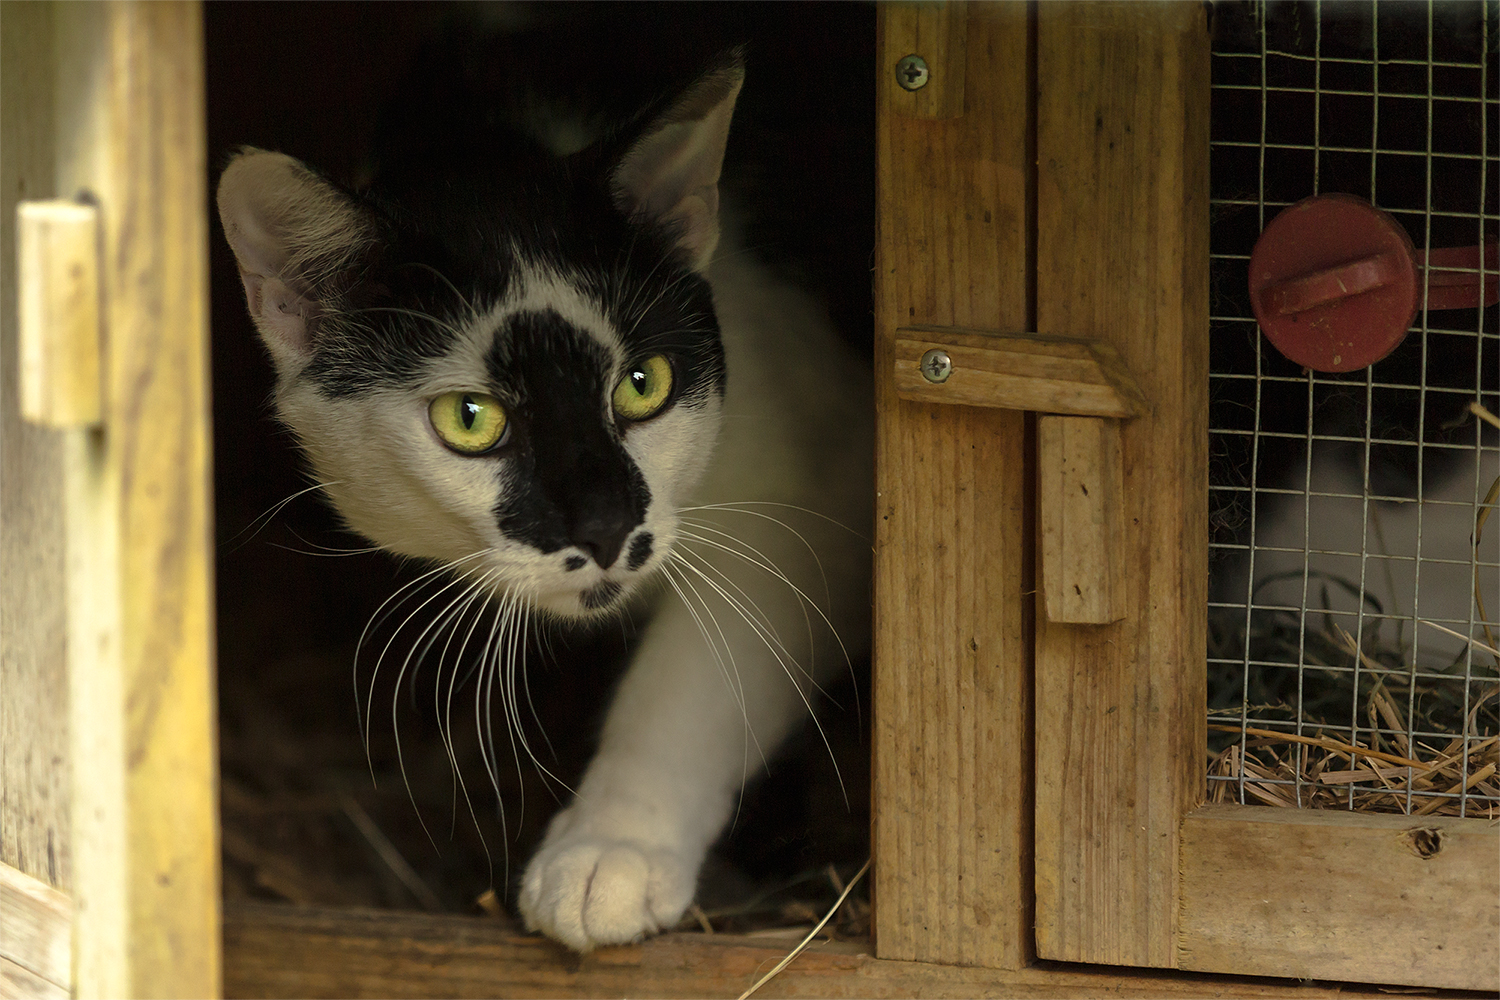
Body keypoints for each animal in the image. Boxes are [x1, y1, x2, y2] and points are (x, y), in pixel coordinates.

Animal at [211, 50, 870, 953]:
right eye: (470, 418)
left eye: (645, 384)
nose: (605, 530)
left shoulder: (819, 489)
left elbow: (694, 677)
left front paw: (612, 850)